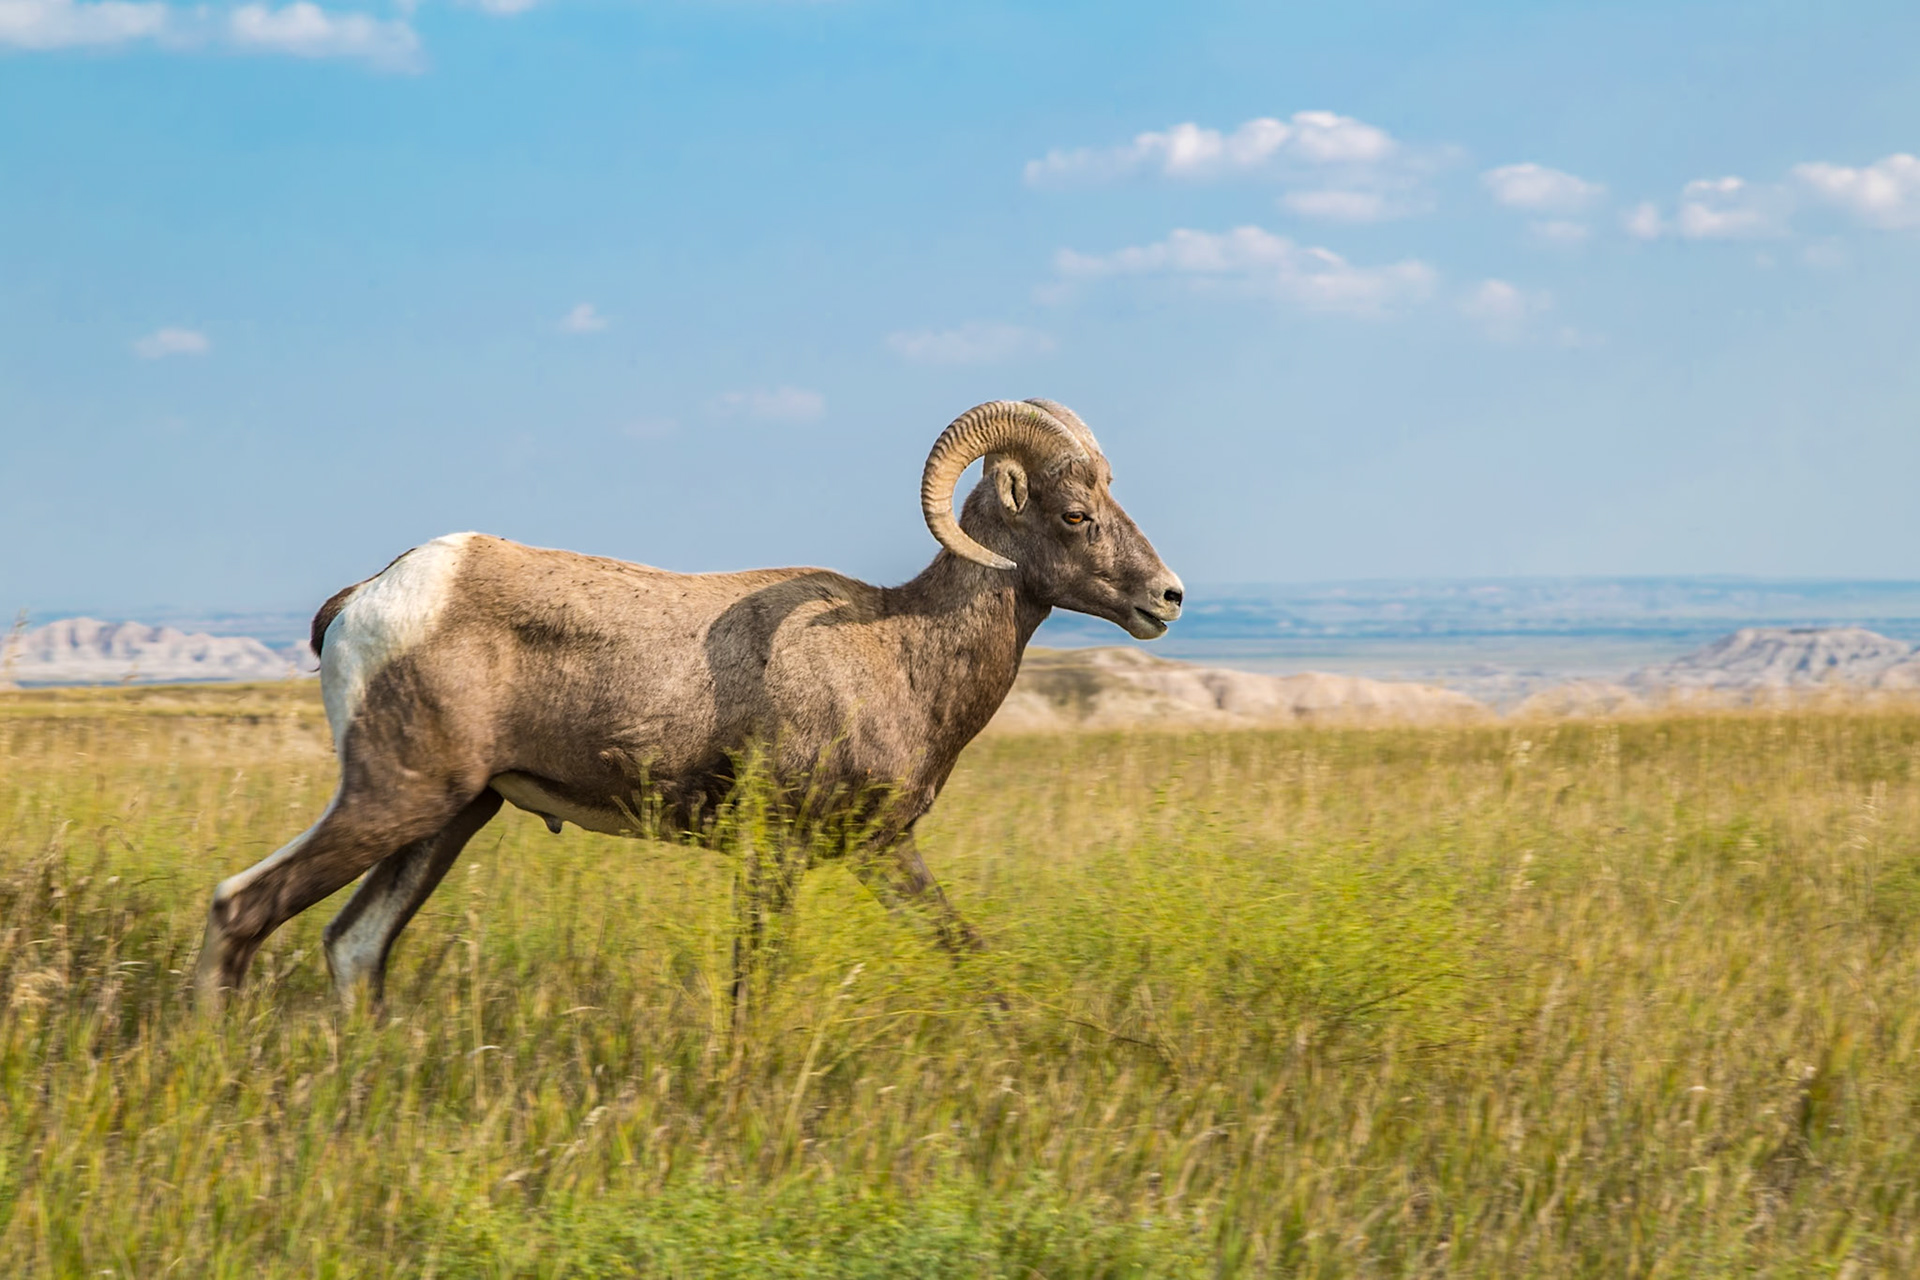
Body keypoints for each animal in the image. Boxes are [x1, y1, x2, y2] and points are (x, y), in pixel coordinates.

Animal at [194, 399, 1185, 1009]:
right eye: (1073, 515)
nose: (1167, 599)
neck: (898, 650)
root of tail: (372, 597)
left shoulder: (881, 852)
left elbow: (968, 958)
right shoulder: (774, 854)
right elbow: (757, 986)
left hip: (448, 819)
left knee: (355, 947)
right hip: (395, 799)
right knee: (242, 909)